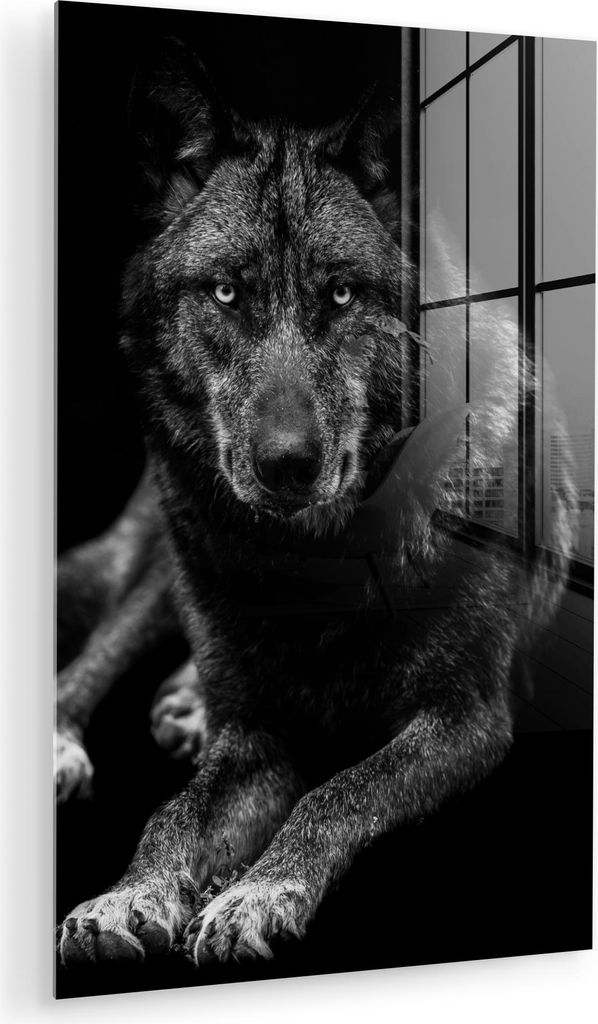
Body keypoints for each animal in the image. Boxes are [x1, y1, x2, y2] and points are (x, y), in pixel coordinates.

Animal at [57, 40, 573, 968]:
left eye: (340, 294)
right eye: (226, 293)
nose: (287, 466)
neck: (316, 568)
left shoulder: (466, 718)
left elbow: (340, 789)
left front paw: (255, 891)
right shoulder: (258, 739)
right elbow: (173, 813)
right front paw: (127, 896)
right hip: (171, 559)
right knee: (97, 651)